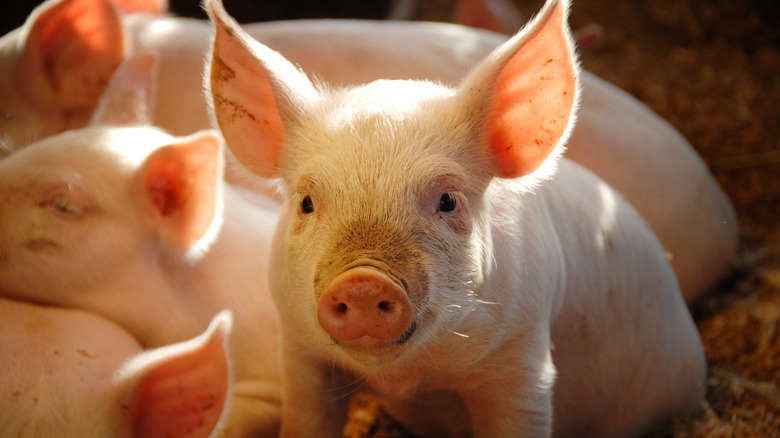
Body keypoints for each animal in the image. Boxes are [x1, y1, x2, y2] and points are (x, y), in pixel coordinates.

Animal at [206, 0, 707, 436]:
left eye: (447, 200)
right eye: (307, 202)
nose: (363, 281)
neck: (409, 378)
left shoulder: (525, 361)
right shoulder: (298, 351)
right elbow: (308, 419)